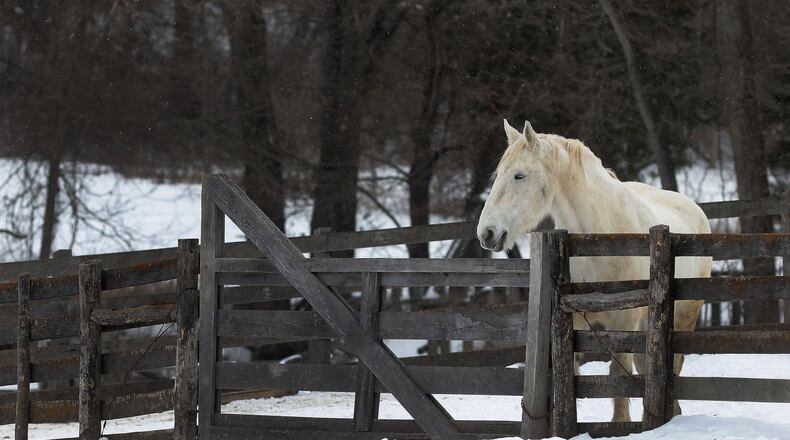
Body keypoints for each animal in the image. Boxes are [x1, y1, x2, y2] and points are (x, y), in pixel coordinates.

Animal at [477, 120, 711, 422]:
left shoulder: (623, 324)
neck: (602, 238)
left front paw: (620, 424)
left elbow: (618, 376)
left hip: (683, 317)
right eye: (497, 175)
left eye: (519, 176)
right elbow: (570, 373)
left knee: (672, 366)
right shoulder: (573, 319)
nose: (486, 233)